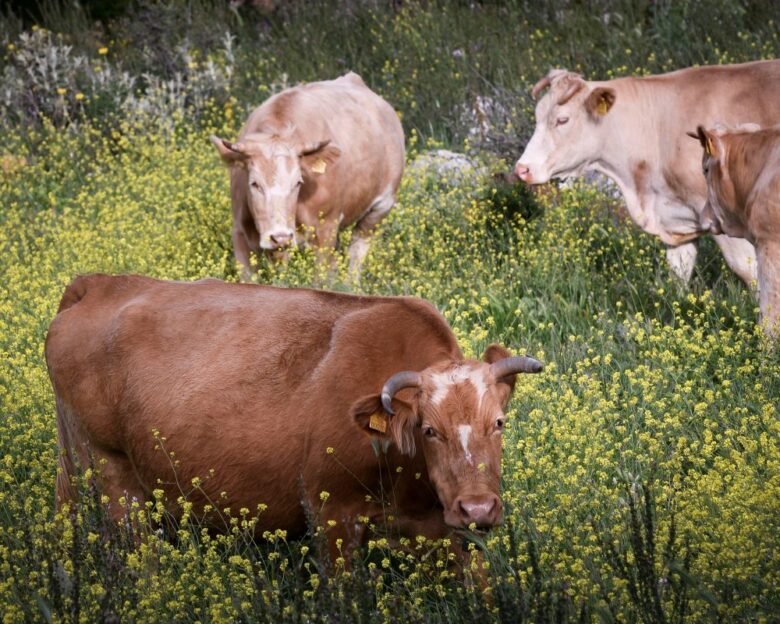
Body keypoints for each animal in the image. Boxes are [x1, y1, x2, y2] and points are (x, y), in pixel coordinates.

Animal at [210, 72, 406, 280]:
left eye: (298, 183)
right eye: (254, 183)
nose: (280, 237)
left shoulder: (325, 230)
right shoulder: (240, 233)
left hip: (380, 208)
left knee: (357, 250)